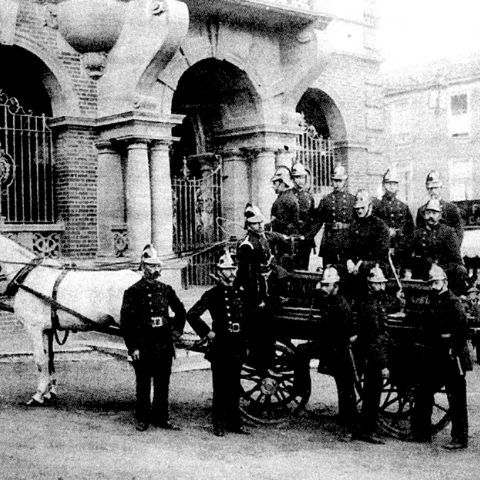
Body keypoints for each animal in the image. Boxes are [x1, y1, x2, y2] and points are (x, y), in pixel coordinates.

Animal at [0, 232, 141, 404]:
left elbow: (40, 360)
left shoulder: (33, 328)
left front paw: (38, 395)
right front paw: (49, 392)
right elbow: (49, 359)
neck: (29, 275)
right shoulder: (47, 329)